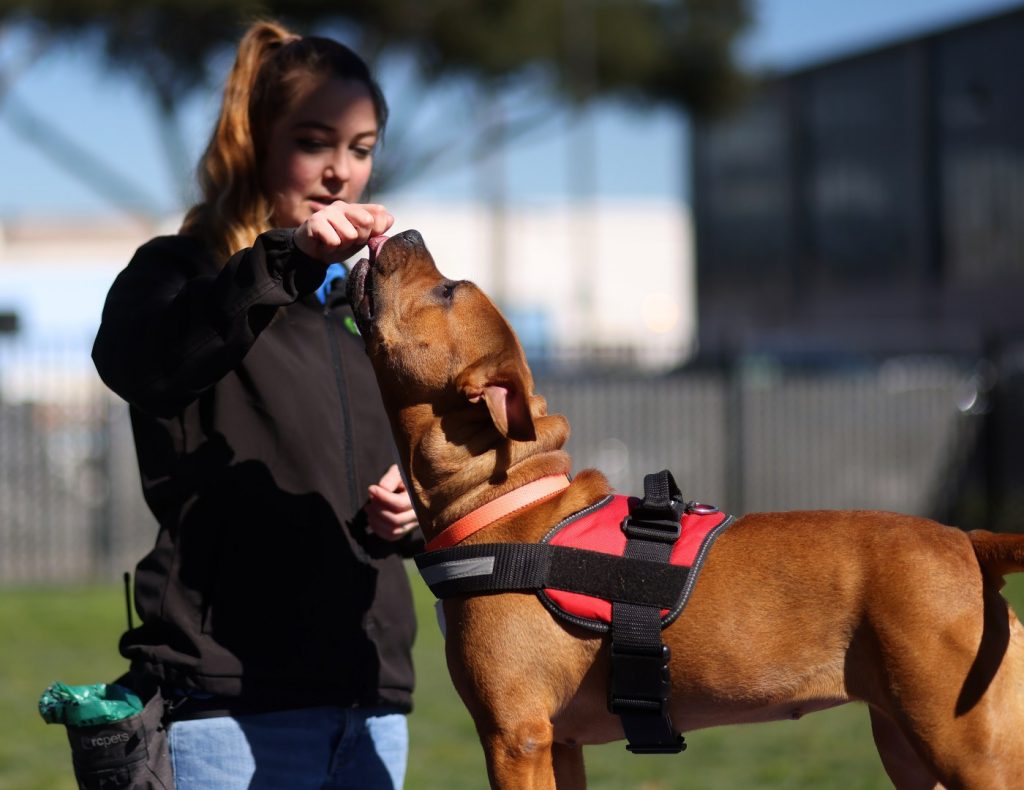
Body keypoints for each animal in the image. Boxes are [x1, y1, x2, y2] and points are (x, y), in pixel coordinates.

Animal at [348, 230, 1024, 790]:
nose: (406, 231)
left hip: (967, 748)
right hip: (908, 746)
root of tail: (970, 543)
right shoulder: (560, 745)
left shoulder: (517, 739)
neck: (506, 493)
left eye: (446, 289)